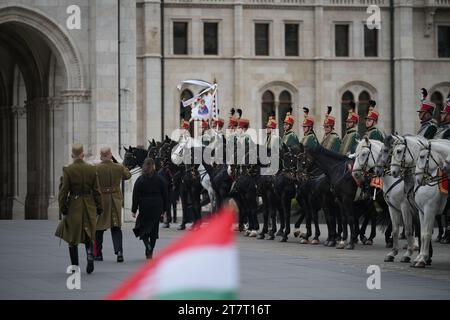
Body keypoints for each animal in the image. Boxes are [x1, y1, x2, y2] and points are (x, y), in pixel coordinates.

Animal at [414, 140, 450, 268]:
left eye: (422, 156)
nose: (418, 180)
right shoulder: (421, 212)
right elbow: (422, 233)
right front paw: (420, 257)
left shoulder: (430, 210)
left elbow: (427, 234)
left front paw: (422, 259)